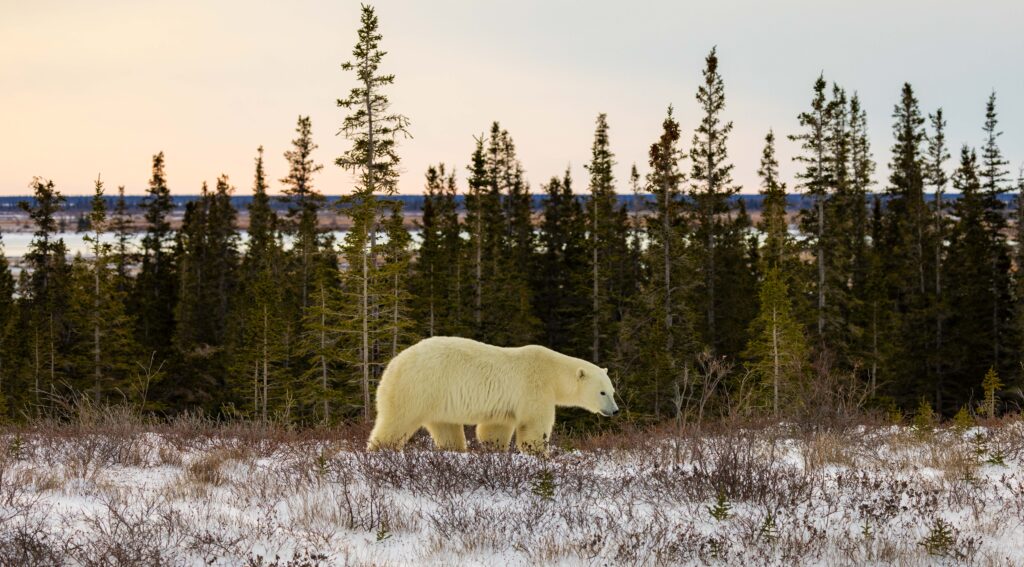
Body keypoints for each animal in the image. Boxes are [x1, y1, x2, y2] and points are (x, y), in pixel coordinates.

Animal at [366, 336, 619, 453]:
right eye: (602, 392)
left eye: (613, 391)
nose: (615, 410)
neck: (552, 372)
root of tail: (393, 364)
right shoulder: (534, 388)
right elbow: (534, 426)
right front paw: (541, 454)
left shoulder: (505, 407)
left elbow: (495, 429)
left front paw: (494, 450)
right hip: (419, 388)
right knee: (396, 422)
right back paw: (380, 450)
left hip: (438, 401)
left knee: (446, 429)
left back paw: (455, 451)